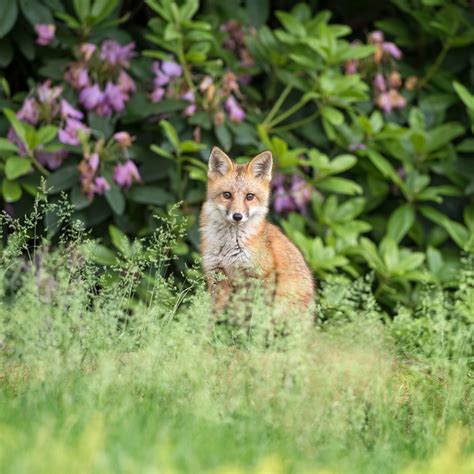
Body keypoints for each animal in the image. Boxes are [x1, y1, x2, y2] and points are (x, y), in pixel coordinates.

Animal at [199, 146, 314, 312]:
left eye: (249, 196)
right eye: (227, 195)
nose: (237, 216)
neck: (229, 246)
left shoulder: (258, 276)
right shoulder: (217, 275)